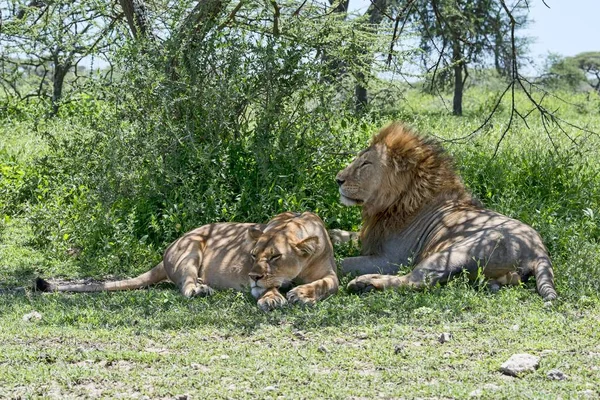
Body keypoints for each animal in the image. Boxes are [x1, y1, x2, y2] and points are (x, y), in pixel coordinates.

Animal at [36, 211, 338, 310]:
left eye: (275, 256)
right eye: (253, 255)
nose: (252, 276)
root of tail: (166, 253)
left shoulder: (331, 274)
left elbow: (325, 285)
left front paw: (302, 293)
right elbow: (269, 287)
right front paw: (273, 298)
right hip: (192, 247)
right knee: (185, 285)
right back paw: (200, 288)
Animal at [338, 122, 556, 300]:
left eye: (365, 163)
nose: (338, 179)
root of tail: (538, 251)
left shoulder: (391, 259)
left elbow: (343, 262)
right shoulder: (371, 237)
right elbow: (344, 235)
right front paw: (334, 235)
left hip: (453, 253)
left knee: (417, 280)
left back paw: (364, 283)